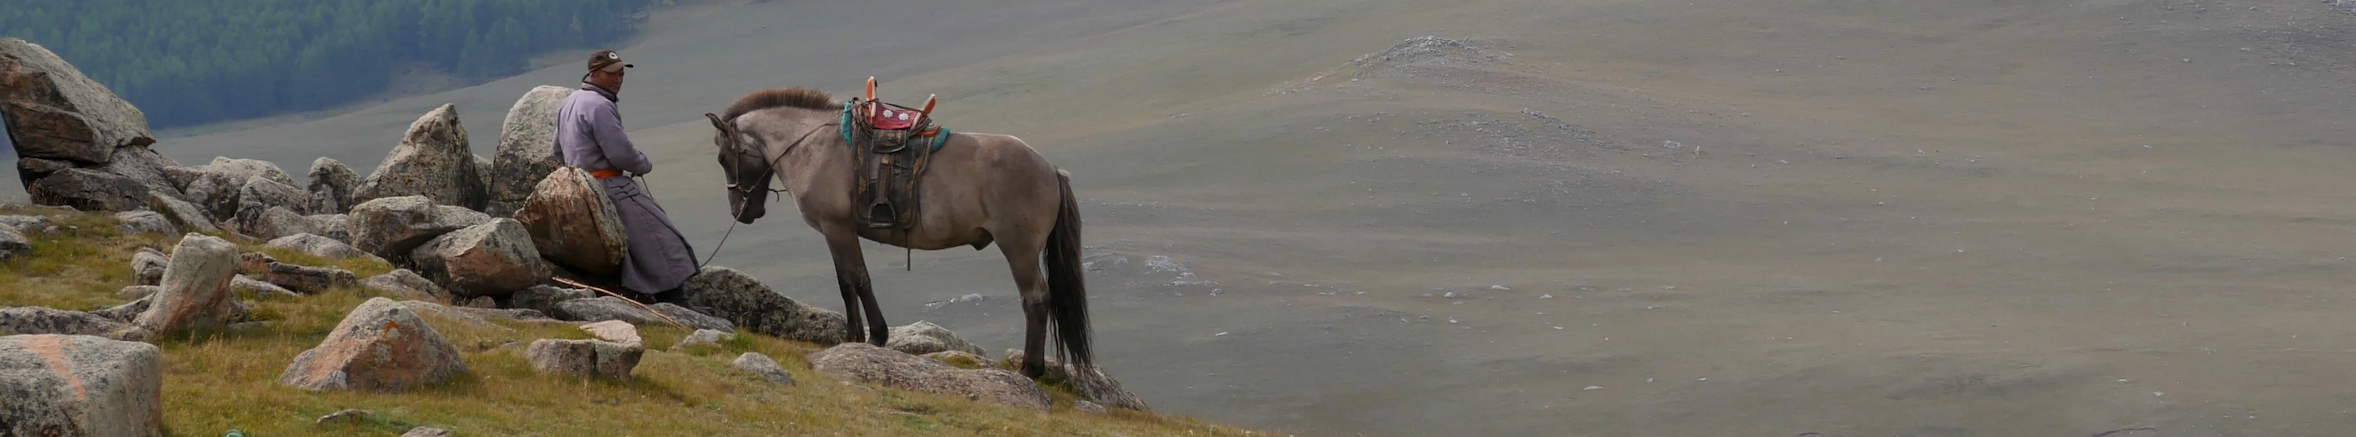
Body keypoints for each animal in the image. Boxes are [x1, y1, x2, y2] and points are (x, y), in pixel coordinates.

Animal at [697, 86, 1093, 377]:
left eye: (722, 158)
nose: (742, 211)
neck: (812, 146)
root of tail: (1051, 170)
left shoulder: (837, 228)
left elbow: (854, 281)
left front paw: (869, 337)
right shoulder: (837, 232)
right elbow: (851, 280)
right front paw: (862, 336)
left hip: (1018, 249)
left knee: (1035, 299)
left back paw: (1029, 369)